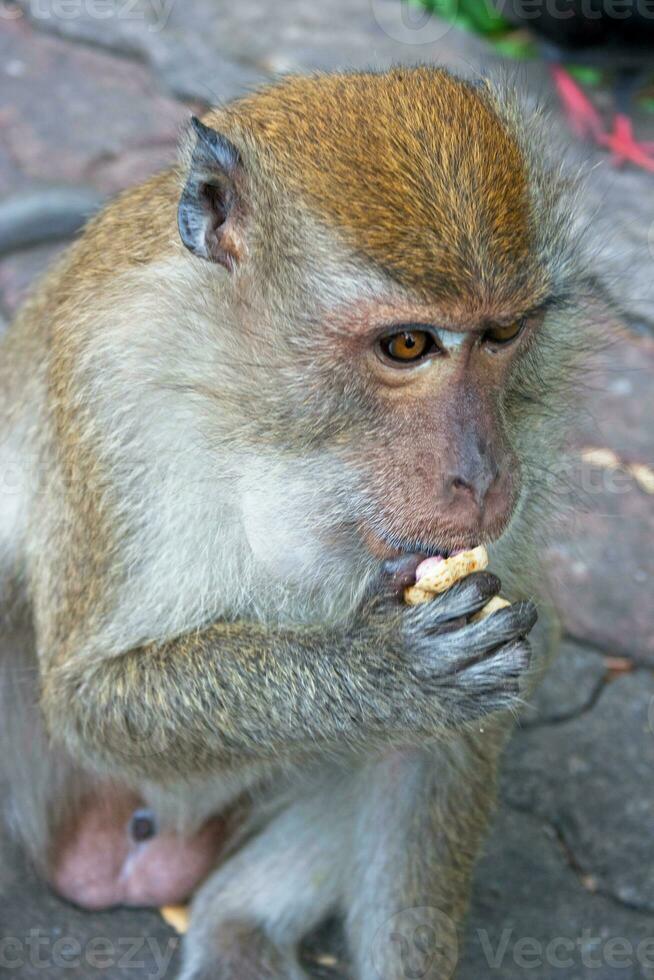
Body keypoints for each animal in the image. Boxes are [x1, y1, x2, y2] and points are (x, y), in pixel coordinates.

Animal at [0, 69, 588, 980]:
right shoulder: (105, 388)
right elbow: (90, 697)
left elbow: (446, 729)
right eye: (408, 344)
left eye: (501, 333)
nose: (484, 477)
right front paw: (378, 671)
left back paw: (238, 925)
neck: (280, 422)